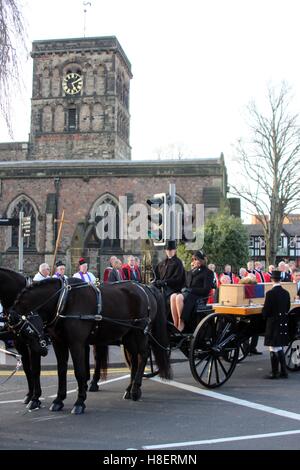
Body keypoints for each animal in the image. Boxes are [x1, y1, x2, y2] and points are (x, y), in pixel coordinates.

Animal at [0, 268, 47, 408]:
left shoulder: (35, 344)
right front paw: (30, 395)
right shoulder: (19, 341)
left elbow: (35, 369)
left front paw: (35, 398)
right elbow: (27, 368)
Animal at [11, 278, 171, 414]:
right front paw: (58, 400)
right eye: (19, 334)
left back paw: (136, 390)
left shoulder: (76, 344)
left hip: (140, 332)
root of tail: (145, 287)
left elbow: (79, 372)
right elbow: (61, 371)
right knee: (134, 359)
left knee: (143, 355)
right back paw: (129, 389)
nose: (42, 351)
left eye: (28, 330)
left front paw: (79, 402)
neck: (64, 301)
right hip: (128, 335)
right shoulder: (59, 343)